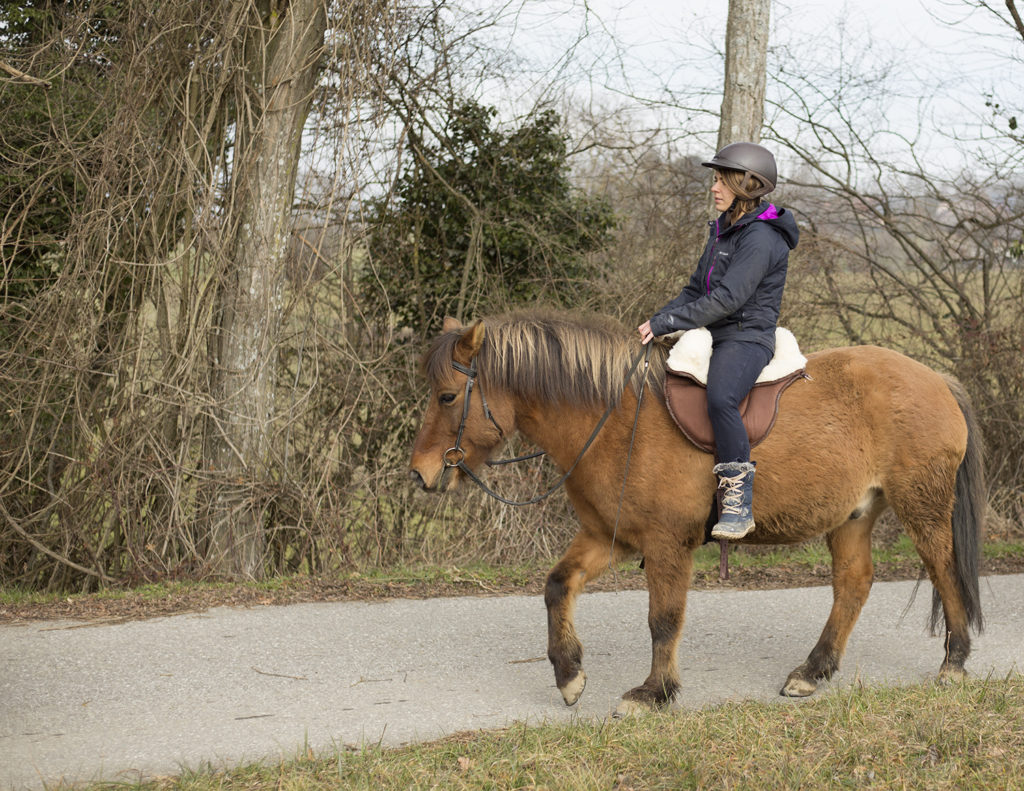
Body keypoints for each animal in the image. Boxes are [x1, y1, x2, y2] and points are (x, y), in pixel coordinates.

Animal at [407, 311, 983, 717]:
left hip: (923, 506)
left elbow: (663, 619)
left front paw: (653, 692)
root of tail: (937, 380)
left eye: (448, 396)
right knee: (854, 583)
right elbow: (557, 585)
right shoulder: (609, 536)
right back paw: (813, 670)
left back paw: (954, 662)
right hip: (852, 516)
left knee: (944, 570)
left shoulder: (666, 543)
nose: (420, 473)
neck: (616, 419)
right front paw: (569, 675)